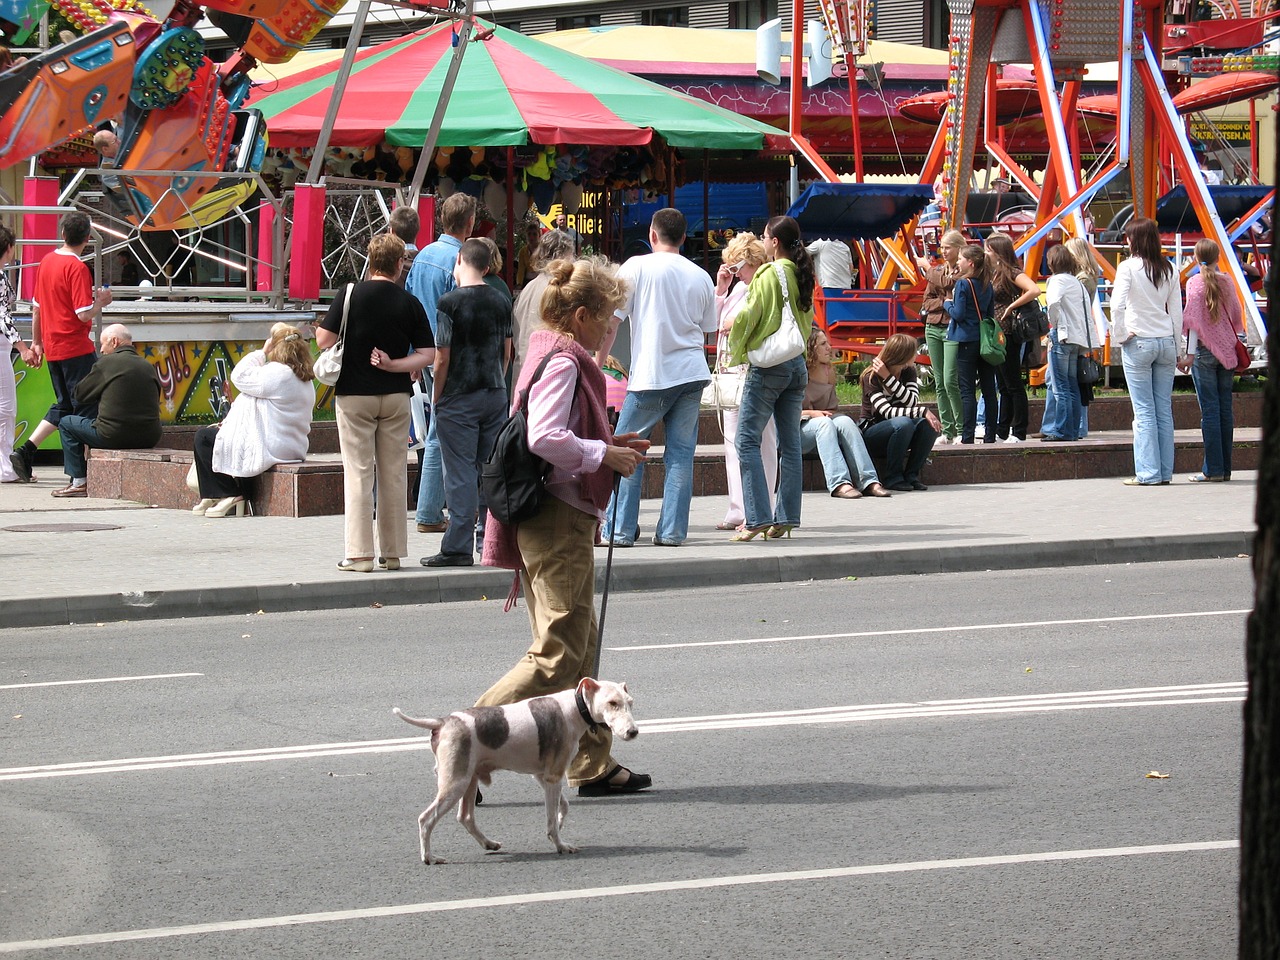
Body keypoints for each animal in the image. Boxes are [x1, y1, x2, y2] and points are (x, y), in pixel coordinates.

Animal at [391, 675, 637, 865]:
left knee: (465, 817)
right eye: (612, 703)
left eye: (630, 702)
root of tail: (442, 722)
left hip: (469, 780)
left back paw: (488, 843)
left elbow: (563, 807)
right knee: (426, 819)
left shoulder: (544, 776)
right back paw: (429, 857)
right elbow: (551, 820)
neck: (576, 707)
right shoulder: (553, 776)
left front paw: (558, 824)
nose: (633, 732)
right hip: (456, 783)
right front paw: (560, 844)